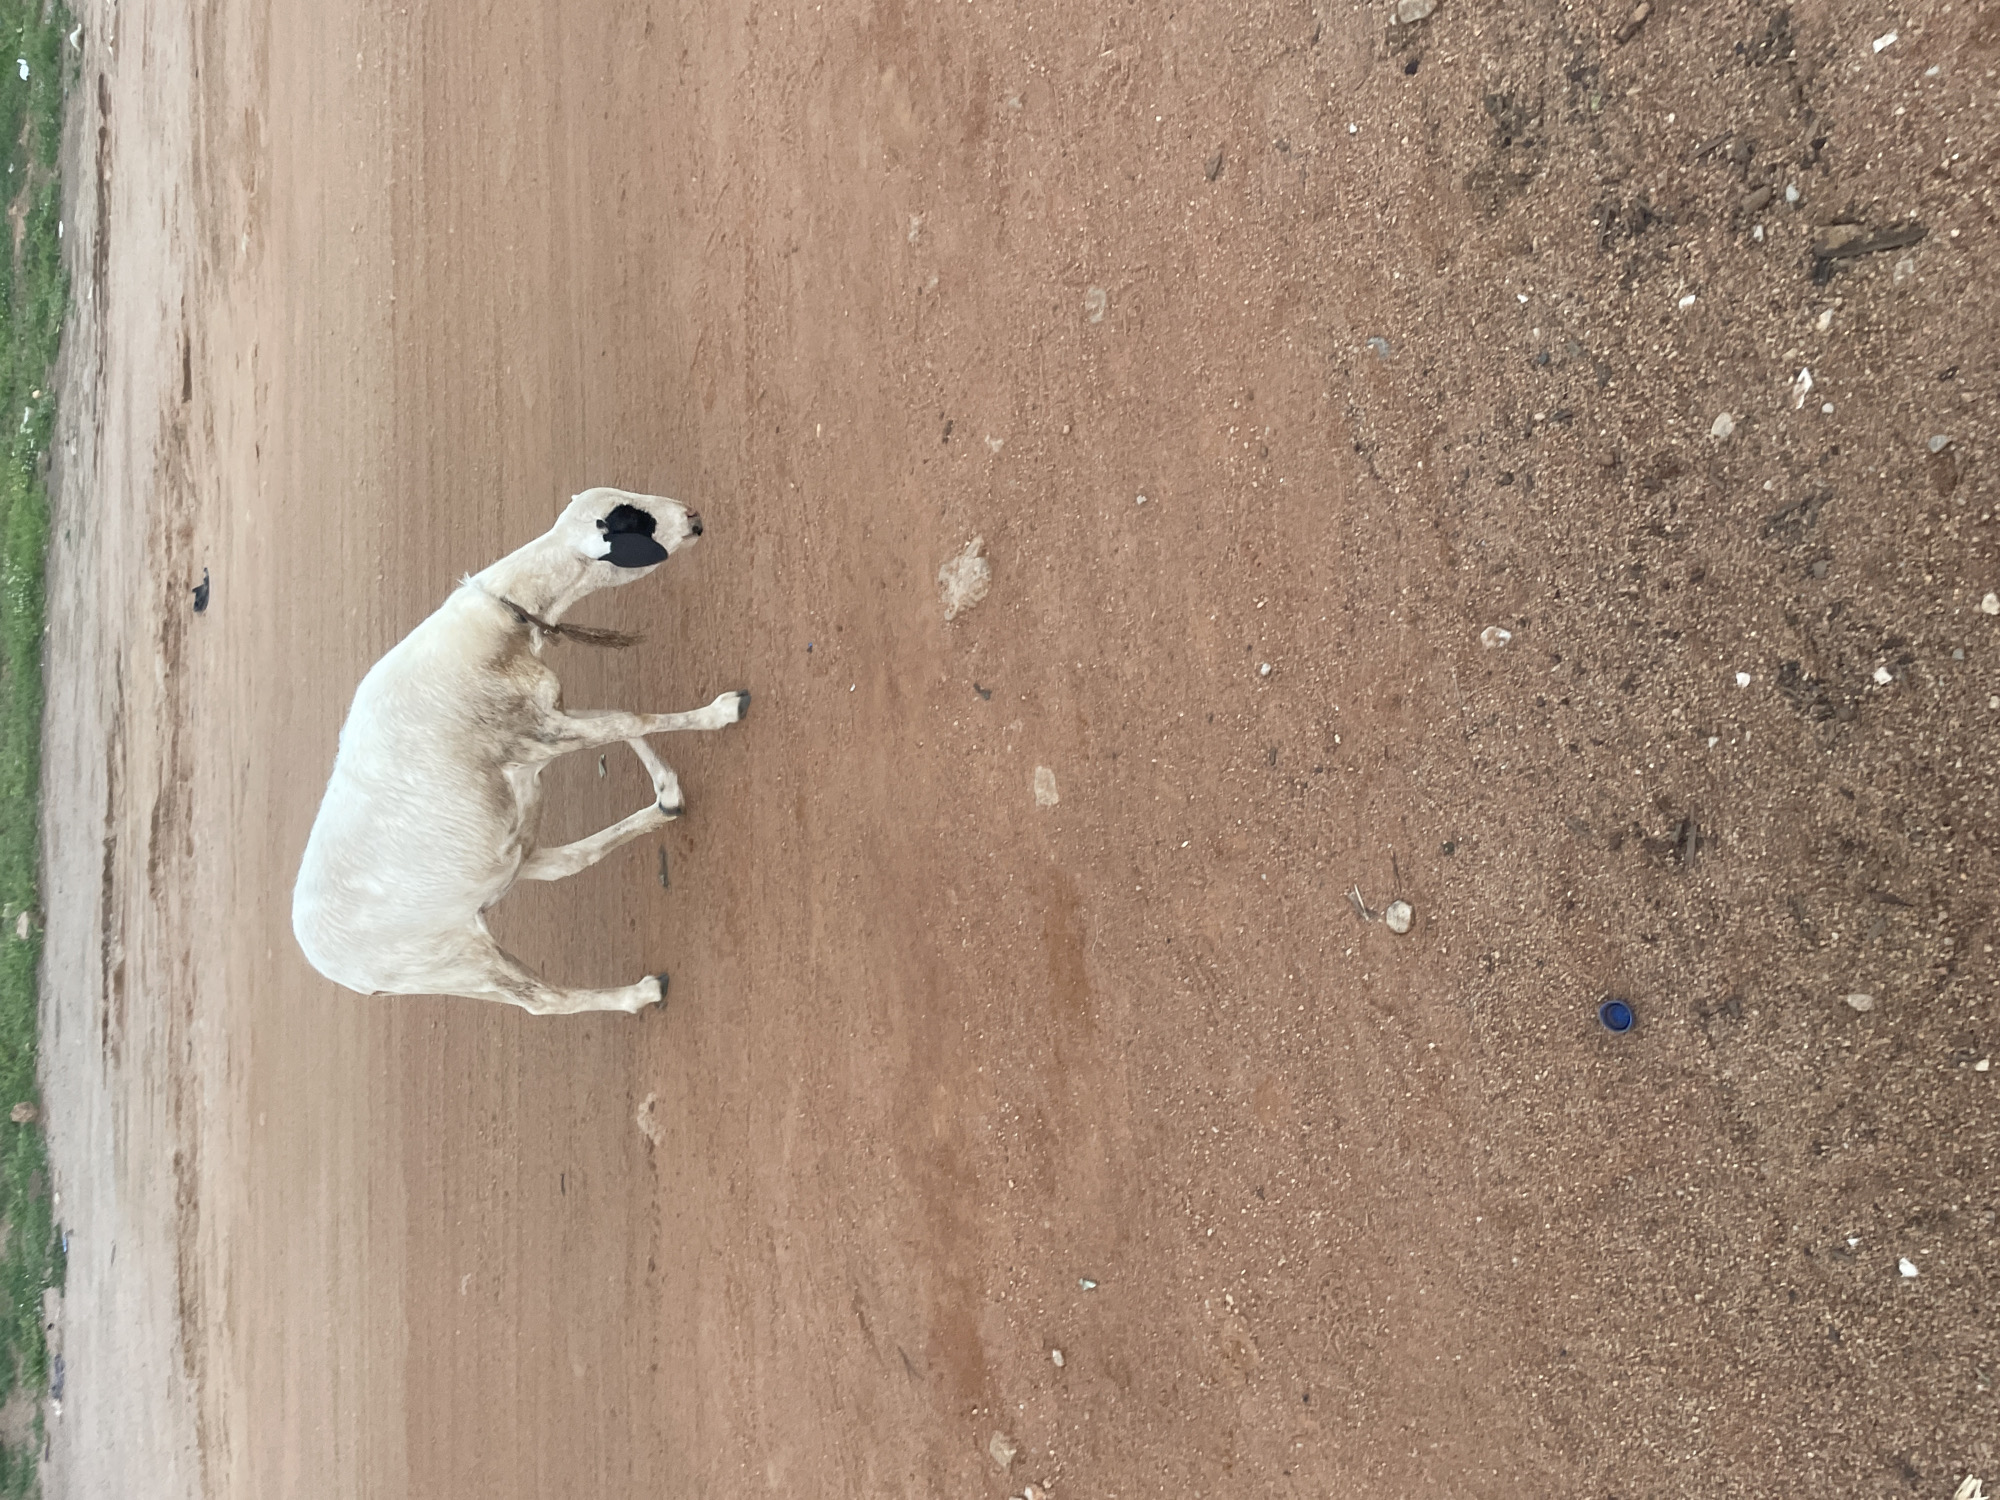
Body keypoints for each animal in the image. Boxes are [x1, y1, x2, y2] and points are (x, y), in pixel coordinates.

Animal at [292, 487, 748, 1014]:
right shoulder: (535, 735)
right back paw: (641, 992)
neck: (499, 623)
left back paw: (665, 810)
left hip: (504, 871)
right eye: (633, 522)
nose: (694, 518)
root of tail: (340, 972)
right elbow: (629, 719)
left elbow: (619, 716)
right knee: (544, 1001)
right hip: (459, 961)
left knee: (567, 863)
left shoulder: (547, 720)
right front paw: (722, 711)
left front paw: (667, 785)